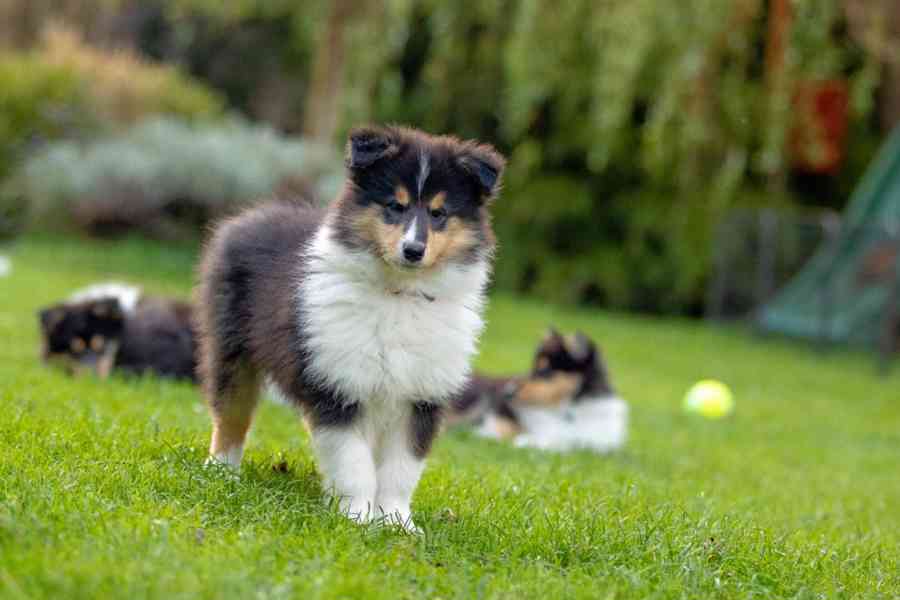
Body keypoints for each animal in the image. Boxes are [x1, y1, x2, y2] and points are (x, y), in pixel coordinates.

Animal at [197, 124, 502, 528]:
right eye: (394, 206)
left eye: (439, 213)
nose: (413, 250)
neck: (398, 295)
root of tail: (252, 215)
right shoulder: (341, 385)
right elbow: (353, 461)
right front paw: (357, 516)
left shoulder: (420, 395)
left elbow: (401, 469)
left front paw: (396, 523)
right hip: (233, 349)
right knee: (231, 413)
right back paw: (222, 471)